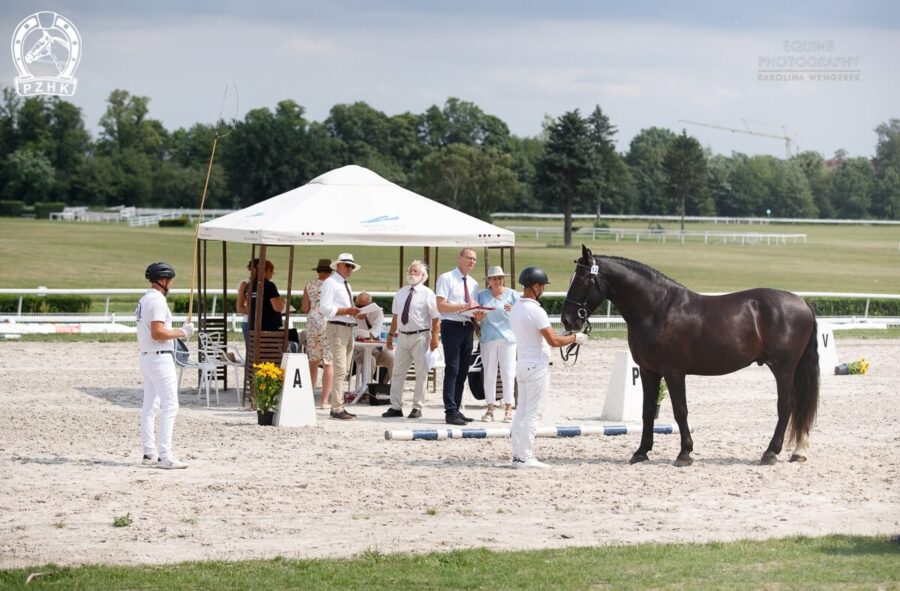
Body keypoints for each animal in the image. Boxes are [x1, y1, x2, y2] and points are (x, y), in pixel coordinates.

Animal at [568, 245, 820, 468]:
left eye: (581, 280)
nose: (568, 320)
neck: (659, 309)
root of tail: (803, 302)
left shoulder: (674, 372)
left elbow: (680, 410)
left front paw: (684, 454)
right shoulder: (649, 371)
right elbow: (647, 411)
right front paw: (641, 452)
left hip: (783, 368)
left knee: (786, 405)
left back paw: (770, 453)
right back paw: (797, 451)